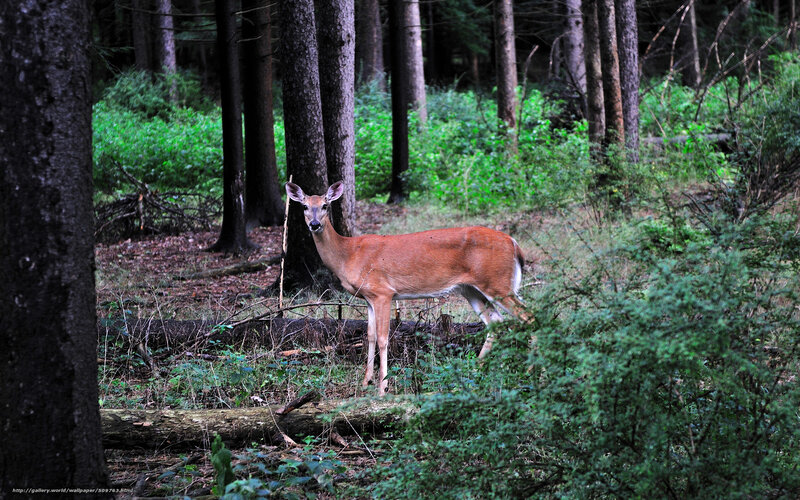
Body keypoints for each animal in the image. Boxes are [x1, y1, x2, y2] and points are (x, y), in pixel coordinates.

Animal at [285, 181, 531, 396]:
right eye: (305, 206)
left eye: (325, 206)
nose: (314, 224)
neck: (348, 254)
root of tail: (514, 243)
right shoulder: (368, 297)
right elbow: (370, 336)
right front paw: (366, 383)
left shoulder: (383, 292)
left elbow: (383, 338)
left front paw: (382, 388)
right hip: (472, 289)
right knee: (496, 322)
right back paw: (477, 371)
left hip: (497, 282)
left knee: (528, 317)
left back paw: (531, 370)